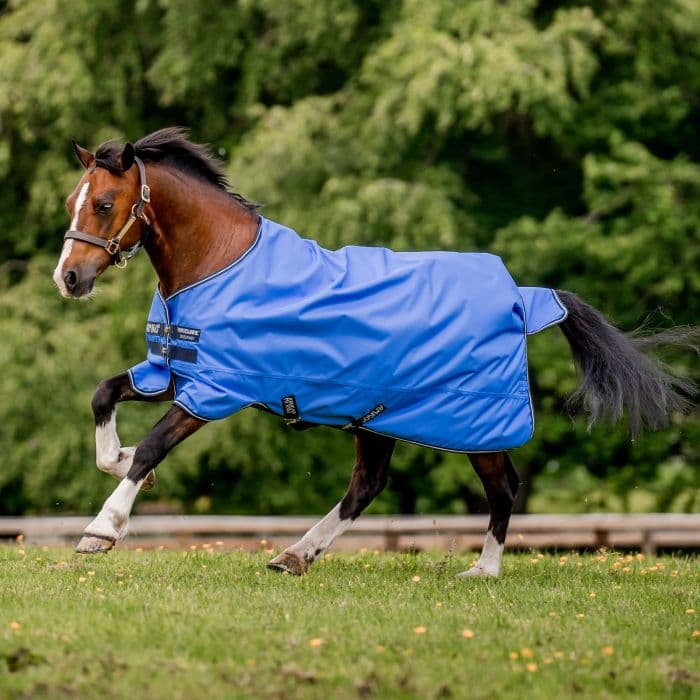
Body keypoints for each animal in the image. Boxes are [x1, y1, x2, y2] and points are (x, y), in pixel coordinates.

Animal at [53, 127, 696, 577]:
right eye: (70, 203)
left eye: (104, 204)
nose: (70, 278)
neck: (218, 262)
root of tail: (521, 294)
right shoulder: (170, 371)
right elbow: (103, 398)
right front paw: (120, 462)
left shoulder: (218, 389)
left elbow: (153, 447)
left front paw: (102, 530)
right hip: (376, 415)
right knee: (368, 485)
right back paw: (295, 556)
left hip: (469, 421)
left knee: (502, 486)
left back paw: (481, 570)